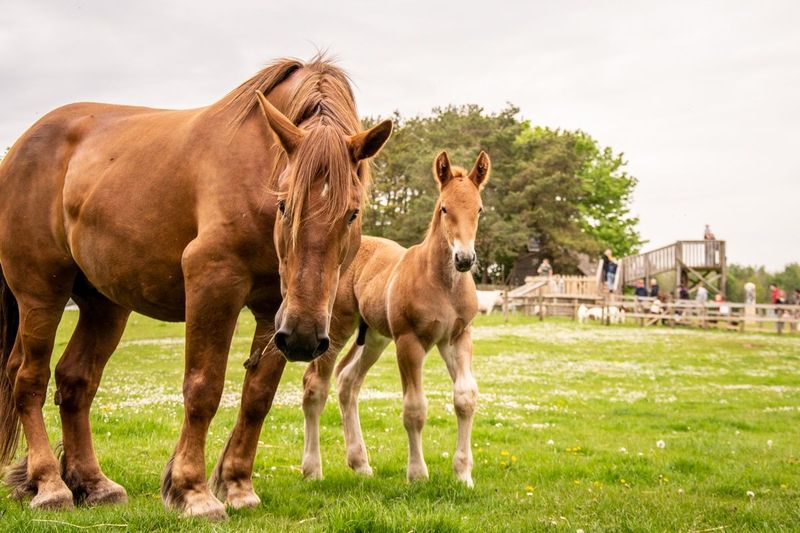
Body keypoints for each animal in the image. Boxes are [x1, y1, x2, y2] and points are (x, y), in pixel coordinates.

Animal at [0, 56, 390, 516]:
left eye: (352, 212)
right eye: (284, 205)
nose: (304, 338)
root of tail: (20, 147)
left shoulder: (275, 310)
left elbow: (258, 396)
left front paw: (238, 485)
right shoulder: (213, 283)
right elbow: (203, 388)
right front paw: (193, 490)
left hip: (104, 305)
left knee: (75, 379)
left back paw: (93, 484)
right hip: (41, 293)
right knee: (29, 378)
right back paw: (49, 484)